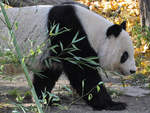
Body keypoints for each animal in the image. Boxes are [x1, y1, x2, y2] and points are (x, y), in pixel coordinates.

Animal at [0, 3, 136, 110]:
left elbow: (47, 75)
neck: (92, 31)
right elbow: (84, 75)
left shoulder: (53, 52)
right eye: (125, 55)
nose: (133, 71)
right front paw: (112, 104)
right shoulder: (69, 36)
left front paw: (47, 99)